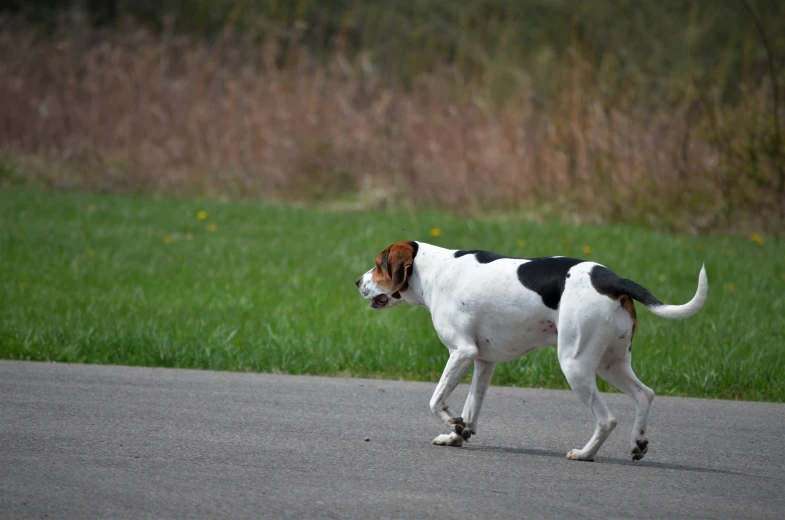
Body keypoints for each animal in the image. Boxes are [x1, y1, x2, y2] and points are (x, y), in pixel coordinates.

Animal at [352, 242, 708, 462]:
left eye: (378, 265)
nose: (357, 281)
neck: (435, 271)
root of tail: (610, 278)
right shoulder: (483, 362)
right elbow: (471, 409)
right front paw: (458, 433)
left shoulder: (461, 352)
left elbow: (435, 400)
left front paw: (453, 423)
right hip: (612, 364)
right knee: (645, 394)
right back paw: (638, 443)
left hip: (575, 365)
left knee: (607, 419)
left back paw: (585, 454)